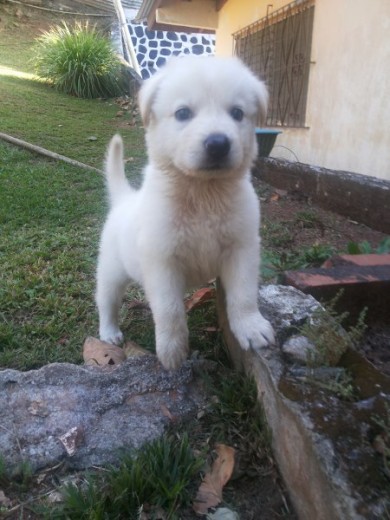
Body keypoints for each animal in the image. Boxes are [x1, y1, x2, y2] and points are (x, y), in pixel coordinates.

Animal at [96, 54, 274, 368]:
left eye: (237, 113)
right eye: (182, 113)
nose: (218, 144)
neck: (203, 195)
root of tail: (124, 199)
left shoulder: (242, 248)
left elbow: (243, 294)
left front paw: (251, 327)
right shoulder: (161, 260)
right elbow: (169, 310)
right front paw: (172, 350)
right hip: (112, 268)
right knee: (106, 299)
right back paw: (109, 331)